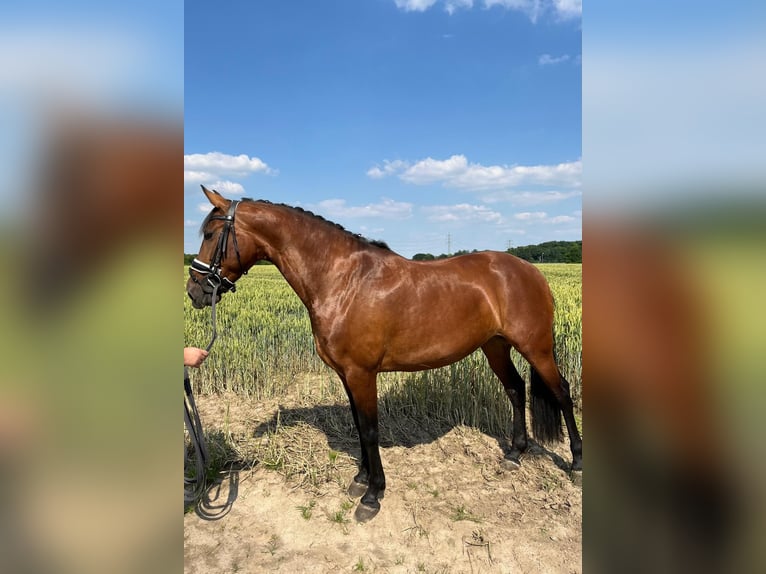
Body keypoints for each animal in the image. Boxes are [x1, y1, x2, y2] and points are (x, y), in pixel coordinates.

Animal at [186, 188, 584, 520]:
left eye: (210, 235)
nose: (195, 291)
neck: (343, 280)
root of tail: (530, 270)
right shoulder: (346, 374)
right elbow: (359, 426)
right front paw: (361, 478)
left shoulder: (362, 373)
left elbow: (371, 429)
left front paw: (373, 495)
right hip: (495, 345)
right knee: (516, 389)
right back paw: (515, 455)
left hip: (536, 348)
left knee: (562, 392)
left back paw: (577, 463)